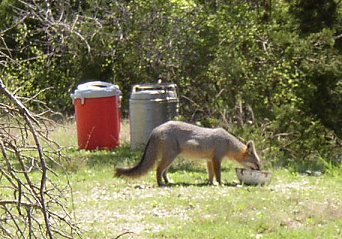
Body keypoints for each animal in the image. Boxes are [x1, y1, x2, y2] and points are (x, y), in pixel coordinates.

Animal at [115, 120, 262, 186]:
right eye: (257, 164)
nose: (261, 171)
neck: (227, 143)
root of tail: (156, 128)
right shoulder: (217, 159)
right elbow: (218, 174)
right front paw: (220, 184)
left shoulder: (209, 160)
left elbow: (211, 174)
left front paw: (211, 183)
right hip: (170, 157)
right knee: (158, 169)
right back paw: (161, 184)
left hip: (171, 158)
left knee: (163, 171)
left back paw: (168, 181)